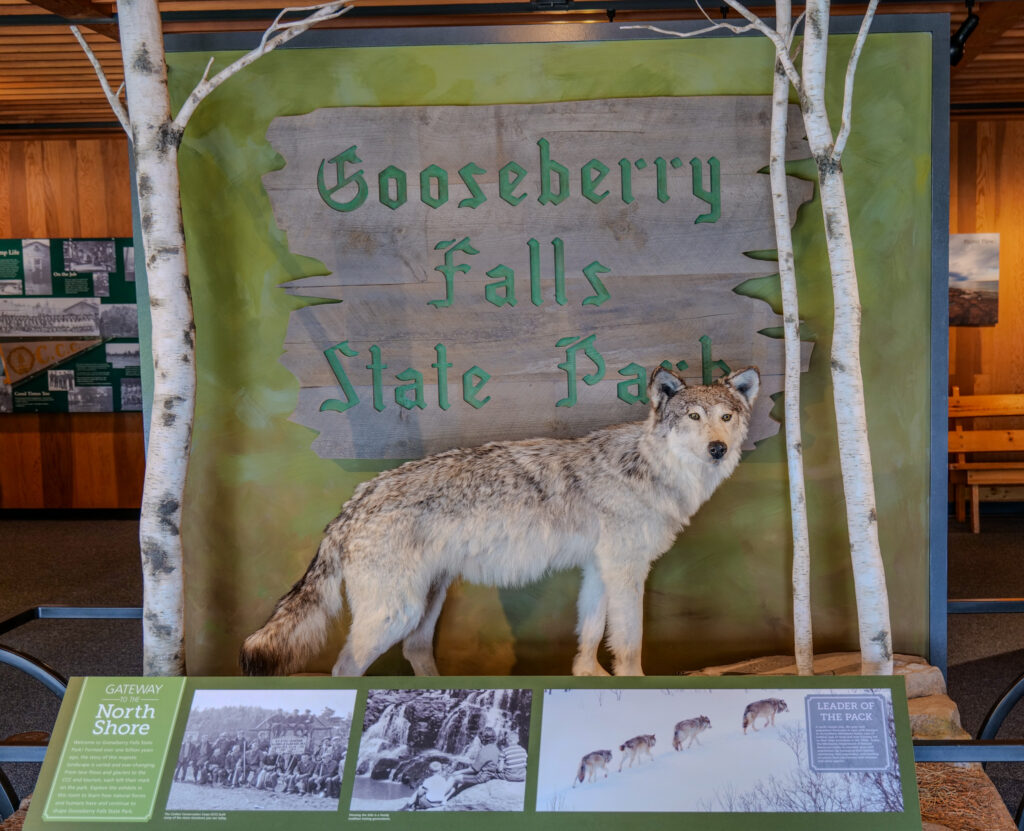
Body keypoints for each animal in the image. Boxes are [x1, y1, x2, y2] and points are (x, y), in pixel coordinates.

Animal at [237, 366, 753, 679]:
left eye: (727, 416)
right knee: (345, 669)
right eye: (693, 416)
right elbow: (629, 643)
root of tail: (355, 500)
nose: (718, 448)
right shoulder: (626, 570)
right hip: (395, 611)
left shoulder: (599, 569)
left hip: (426, 603)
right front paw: (631, 683)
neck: (653, 470)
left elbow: (589, 632)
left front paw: (587, 675)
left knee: (415, 651)